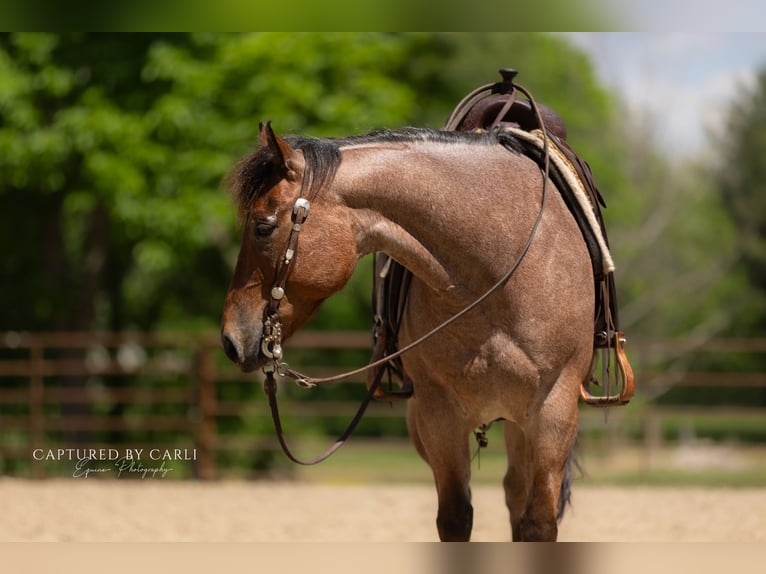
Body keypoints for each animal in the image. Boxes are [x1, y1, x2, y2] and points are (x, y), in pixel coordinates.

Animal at [220, 122, 594, 541]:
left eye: (262, 227)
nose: (230, 340)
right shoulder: (438, 415)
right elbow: (455, 517)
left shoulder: (553, 410)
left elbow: (539, 523)